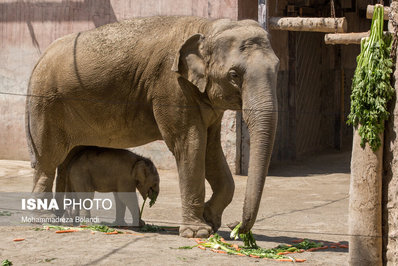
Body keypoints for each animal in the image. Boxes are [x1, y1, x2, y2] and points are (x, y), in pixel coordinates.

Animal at [26, 16, 278, 237]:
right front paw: (198, 232)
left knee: (66, 159)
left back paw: (65, 219)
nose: (236, 226)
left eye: (277, 68)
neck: (207, 26)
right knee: (48, 161)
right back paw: (44, 220)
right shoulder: (171, 87)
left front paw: (211, 221)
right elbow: (190, 144)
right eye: (234, 74)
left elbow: (212, 150)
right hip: (46, 104)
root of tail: (39, 59)